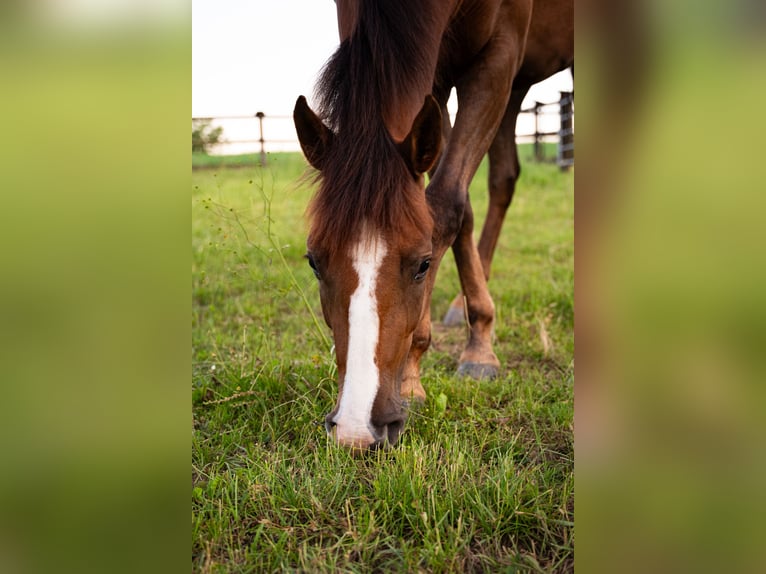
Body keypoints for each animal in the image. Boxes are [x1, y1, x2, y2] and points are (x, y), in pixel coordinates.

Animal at [293, 0, 573, 450]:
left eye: (424, 264)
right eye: (313, 262)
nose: (357, 429)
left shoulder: (499, 53)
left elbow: (445, 204)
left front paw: (464, 356)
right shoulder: (438, 74)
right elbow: (455, 202)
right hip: (516, 88)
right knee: (503, 178)